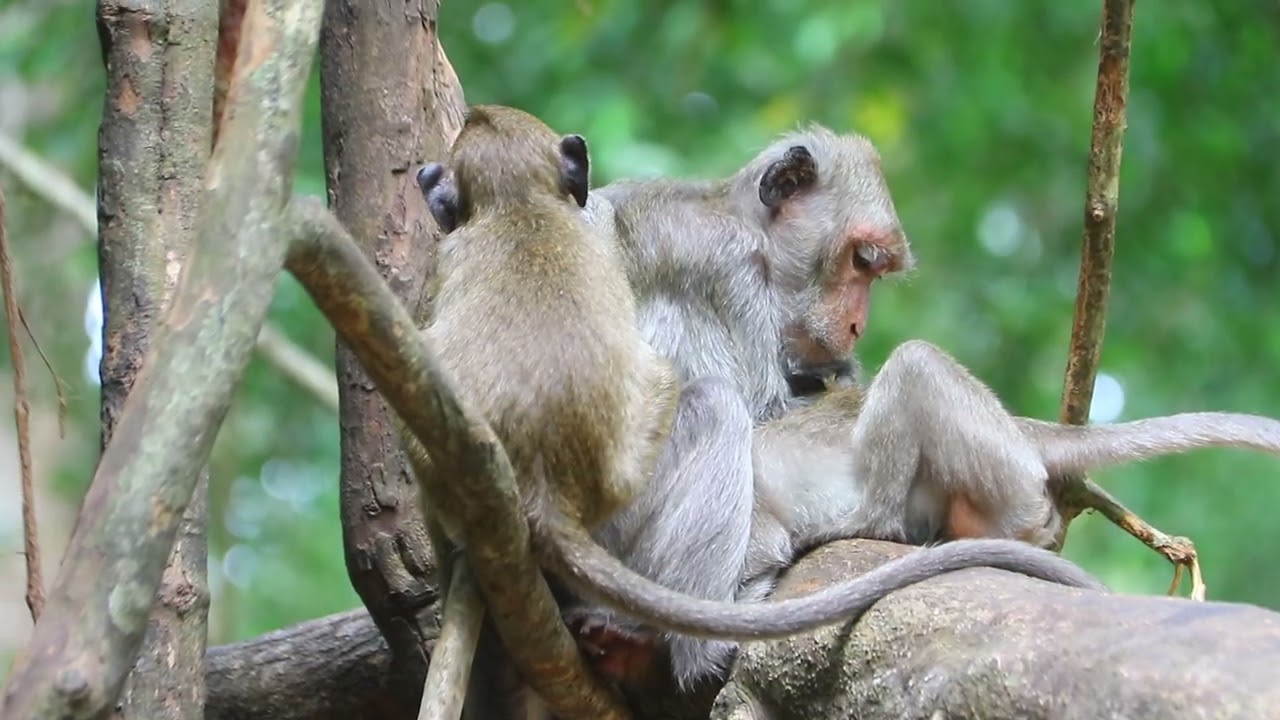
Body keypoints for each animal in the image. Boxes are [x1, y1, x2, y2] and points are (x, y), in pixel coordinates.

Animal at [410, 111, 1112, 720]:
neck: (732, 215)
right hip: (621, 523)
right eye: (861, 259)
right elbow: (762, 407)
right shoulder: (731, 268)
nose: (856, 326)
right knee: (720, 410)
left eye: (876, 271)